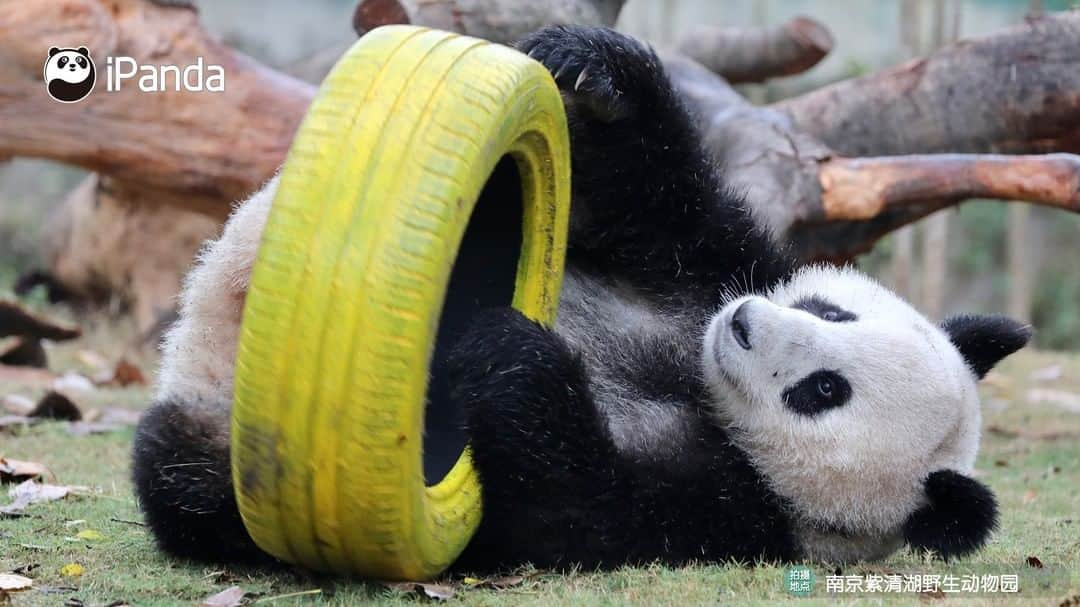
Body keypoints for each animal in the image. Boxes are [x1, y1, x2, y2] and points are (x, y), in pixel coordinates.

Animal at [130, 25, 1023, 570]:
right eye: (829, 313)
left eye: (823, 391)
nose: (741, 325)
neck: (695, 373)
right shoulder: (714, 265)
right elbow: (654, 200)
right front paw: (597, 71)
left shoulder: (734, 512)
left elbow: (572, 502)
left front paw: (509, 351)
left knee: (183, 477)